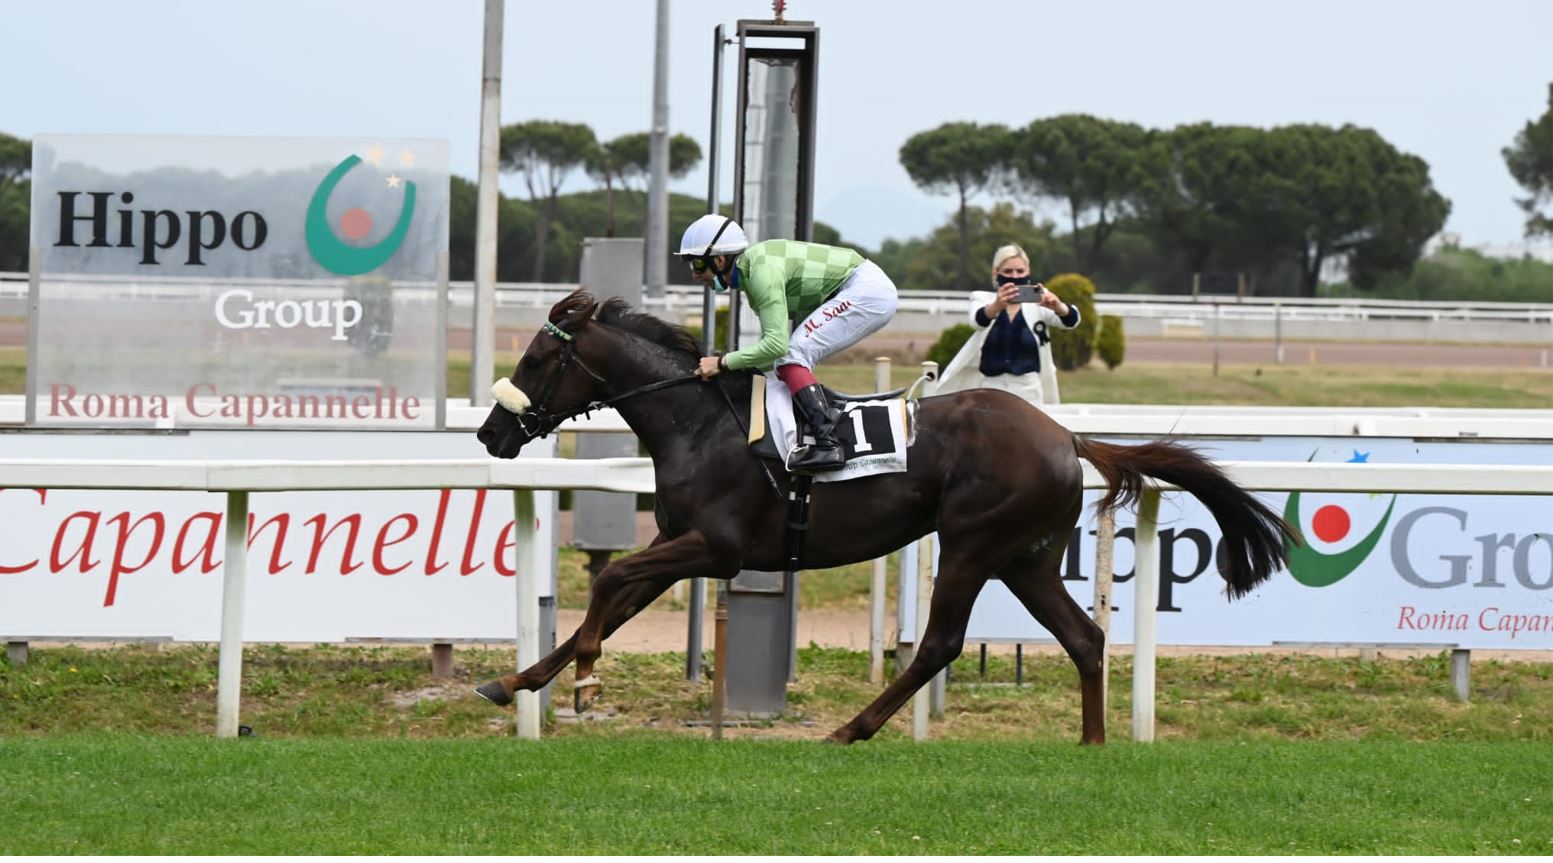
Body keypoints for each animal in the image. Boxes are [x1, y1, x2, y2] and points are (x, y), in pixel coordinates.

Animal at [474, 290, 1297, 744]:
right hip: (1025, 557)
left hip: (972, 544)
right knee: (1084, 637)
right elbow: (616, 596)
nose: (490, 433)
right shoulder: (684, 541)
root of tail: (1064, 436)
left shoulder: (717, 546)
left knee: (939, 644)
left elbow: (607, 582)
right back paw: (1092, 743)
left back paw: (851, 728)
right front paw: (516, 682)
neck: (698, 422)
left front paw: (581, 670)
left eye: (537, 360)